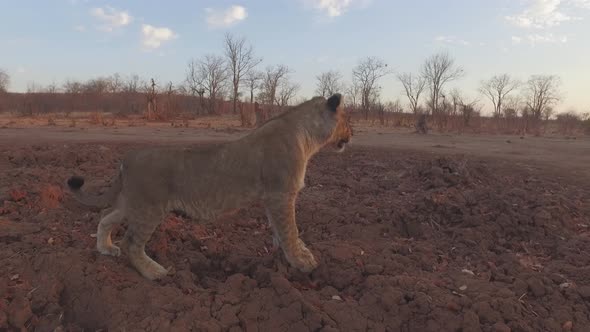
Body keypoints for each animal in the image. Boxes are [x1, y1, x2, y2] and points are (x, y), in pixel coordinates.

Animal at [66, 93, 352, 280]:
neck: (307, 136)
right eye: (347, 121)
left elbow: (280, 231)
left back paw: (105, 249)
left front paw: (288, 256)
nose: (352, 134)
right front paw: (302, 263)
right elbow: (289, 230)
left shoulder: (273, 198)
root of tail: (127, 158)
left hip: (130, 202)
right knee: (131, 243)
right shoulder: (281, 194)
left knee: (105, 216)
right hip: (149, 208)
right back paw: (155, 272)